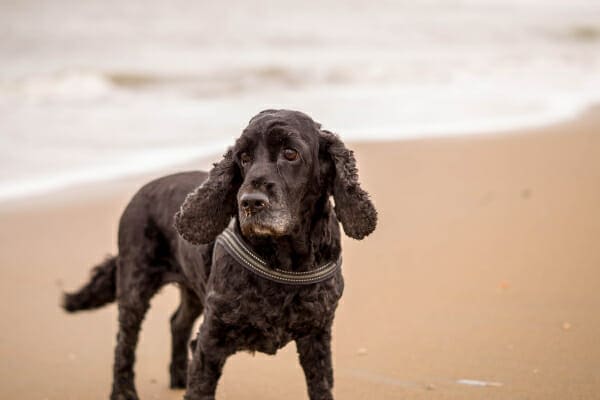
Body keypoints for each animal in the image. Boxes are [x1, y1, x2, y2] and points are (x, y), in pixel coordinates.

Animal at [63, 109, 378, 400]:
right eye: (244, 157)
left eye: (291, 153)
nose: (250, 202)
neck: (284, 260)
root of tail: (142, 191)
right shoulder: (211, 342)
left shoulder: (317, 337)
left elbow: (321, 387)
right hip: (134, 285)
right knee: (124, 342)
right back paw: (123, 392)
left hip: (192, 290)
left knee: (177, 322)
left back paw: (178, 376)